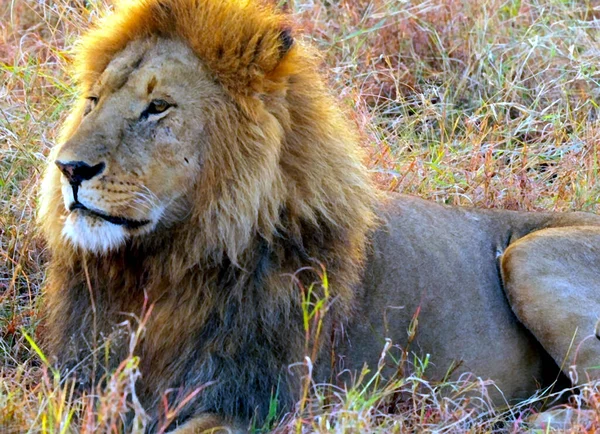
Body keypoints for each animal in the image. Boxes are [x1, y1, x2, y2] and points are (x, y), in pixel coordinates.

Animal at [38, 0, 600, 430]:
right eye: (92, 101)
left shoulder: (260, 402)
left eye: (158, 107)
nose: (69, 168)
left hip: (528, 254)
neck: (168, 265)